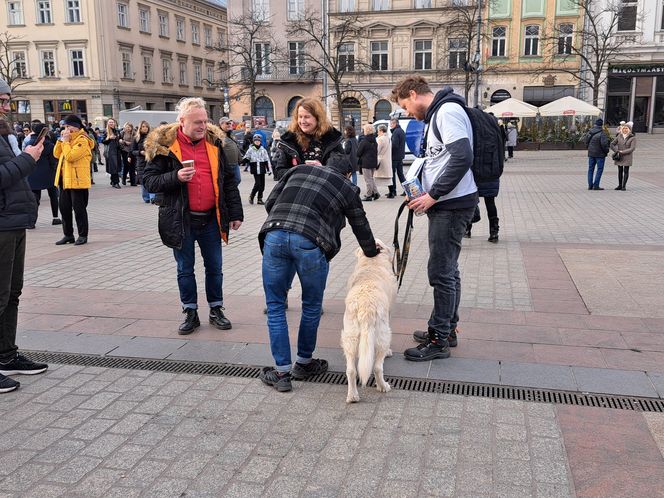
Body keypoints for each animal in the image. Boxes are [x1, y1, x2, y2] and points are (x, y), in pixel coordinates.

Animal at [340, 238, 396, 404]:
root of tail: (366, 306)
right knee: (377, 367)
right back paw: (383, 386)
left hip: (349, 336)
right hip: (384, 333)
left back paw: (352, 396)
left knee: (351, 370)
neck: (371, 262)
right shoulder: (389, 312)